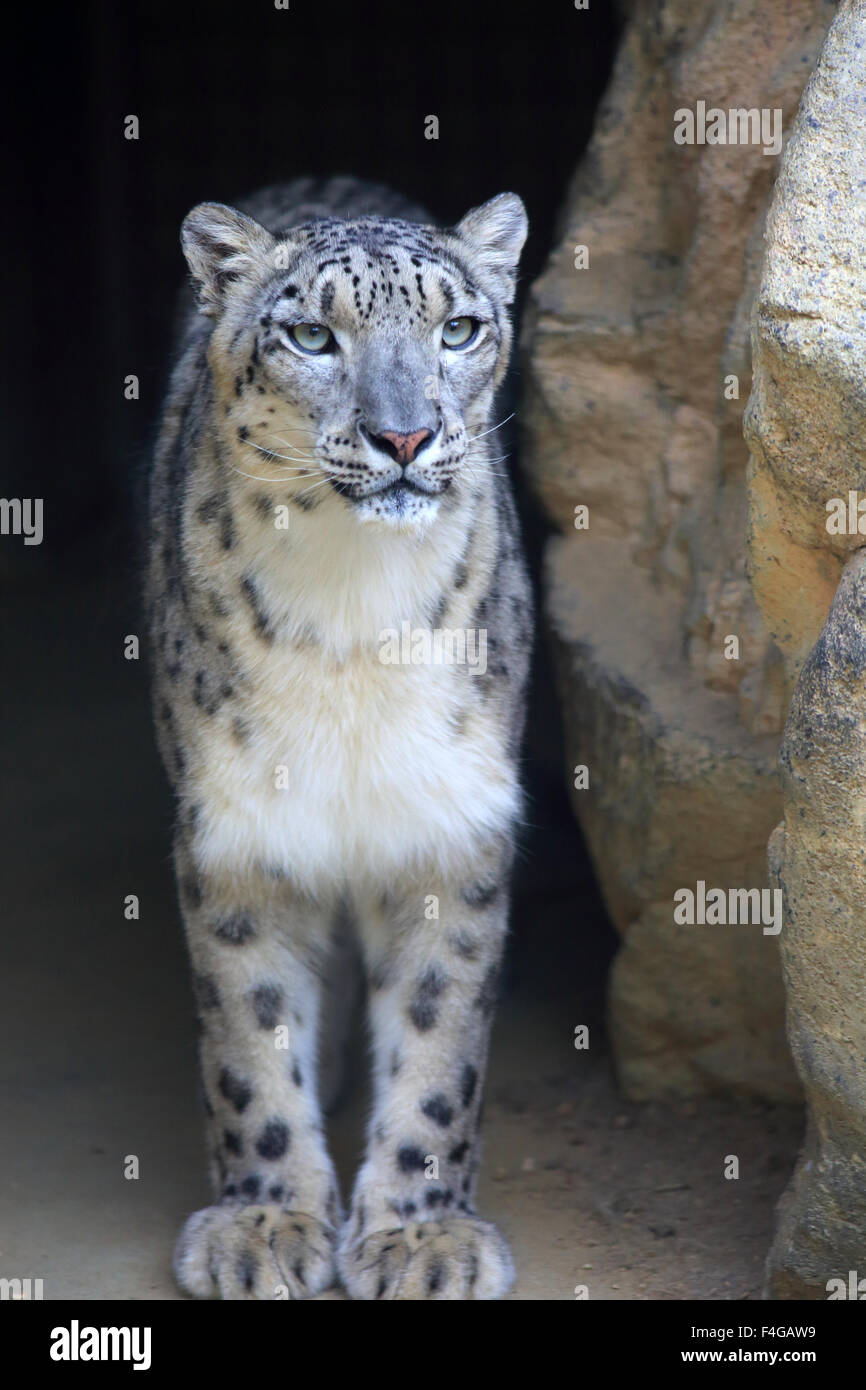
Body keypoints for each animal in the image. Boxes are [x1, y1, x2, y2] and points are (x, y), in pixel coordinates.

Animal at [145, 176, 530, 1301]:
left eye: (458, 328)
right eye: (312, 334)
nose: (403, 438)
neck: (358, 612)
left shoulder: (455, 825)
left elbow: (441, 1042)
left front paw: (420, 1236)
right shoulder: (239, 831)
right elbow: (251, 1034)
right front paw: (266, 1222)